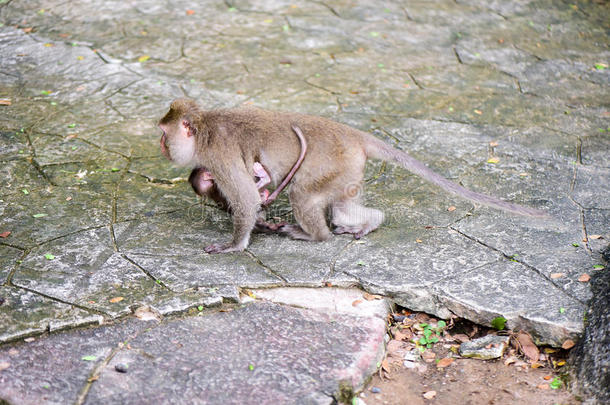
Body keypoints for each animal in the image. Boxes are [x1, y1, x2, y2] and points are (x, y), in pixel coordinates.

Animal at [158, 98, 548, 252]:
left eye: (164, 134)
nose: (161, 146)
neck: (206, 129)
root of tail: (354, 136)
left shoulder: (220, 156)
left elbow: (246, 199)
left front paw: (234, 245)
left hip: (331, 164)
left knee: (303, 195)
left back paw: (313, 235)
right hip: (348, 170)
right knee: (342, 205)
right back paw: (369, 221)